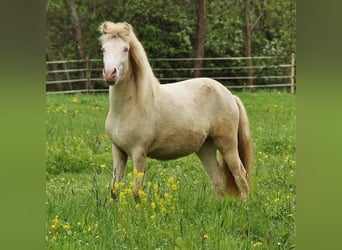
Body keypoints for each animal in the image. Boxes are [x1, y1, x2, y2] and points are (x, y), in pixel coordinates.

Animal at [97, 22, 252, 201]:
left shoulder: (138, 153)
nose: (110, 73)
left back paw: (245, 204)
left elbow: (137, 192)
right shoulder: (118, 151)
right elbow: (114, 190)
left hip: (227, 144)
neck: (130, 107)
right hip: (205, 148)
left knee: (241, 176)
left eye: (125, 49)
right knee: (219, 179)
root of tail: (230, 95)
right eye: (103, 49)